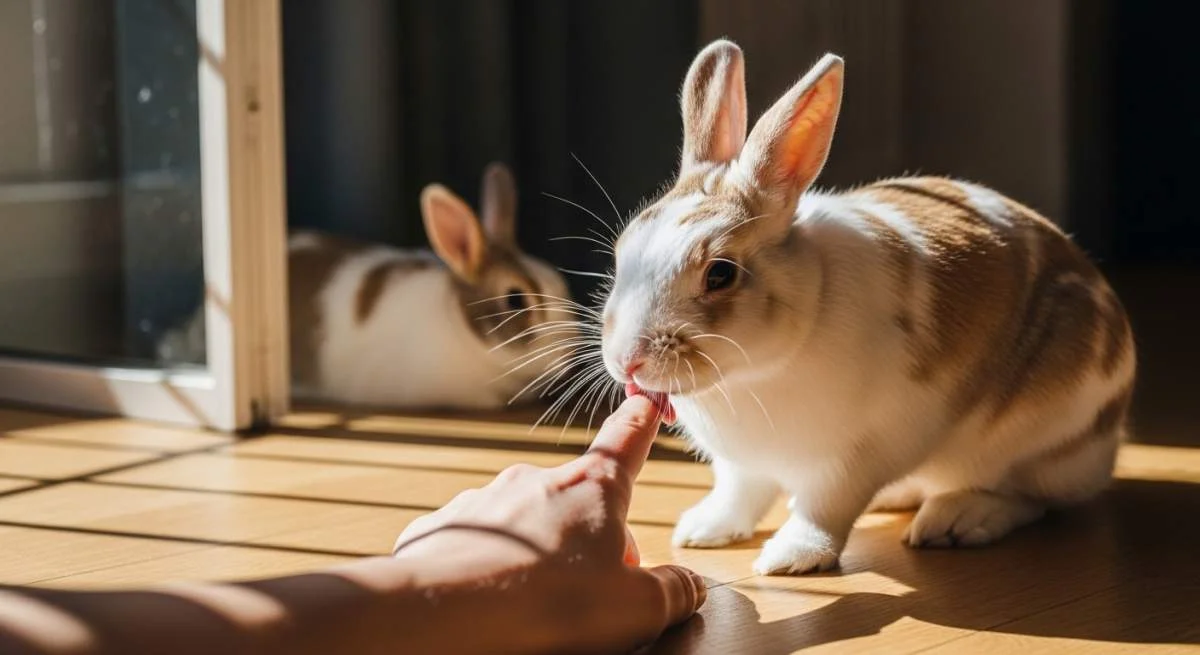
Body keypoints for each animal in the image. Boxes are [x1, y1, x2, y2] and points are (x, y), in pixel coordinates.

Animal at [600, 40, 1136, 576]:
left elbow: (824, 510)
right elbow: (739, 494)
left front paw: (790, 559)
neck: (752, 373)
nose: (627, 360)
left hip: (1040, 440)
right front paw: (702, 530)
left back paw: (956, 519)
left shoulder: (853, 458)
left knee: (1026, 495)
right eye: (622, 251)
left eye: (720, 274)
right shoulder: (741, 465)